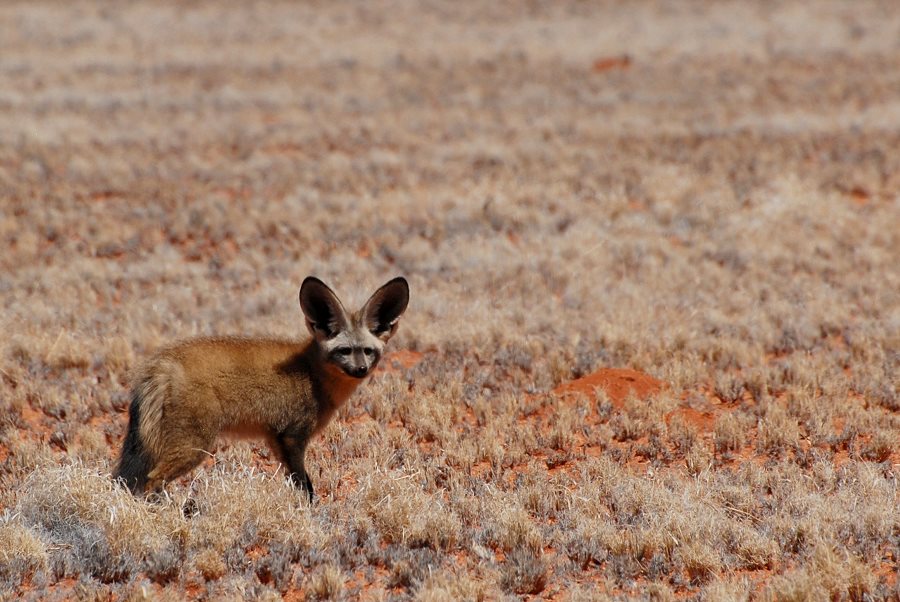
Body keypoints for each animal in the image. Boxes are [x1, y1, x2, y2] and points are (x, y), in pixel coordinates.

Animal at [114, 274, 410, 500]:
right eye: (344, 351)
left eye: (368, 351)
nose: (361, 370)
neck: (313, 373)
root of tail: (160, 363)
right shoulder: (292, 437)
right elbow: (305, 487)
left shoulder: (276, 440)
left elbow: (298, 483)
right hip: (194, 447)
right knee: (152, 481)